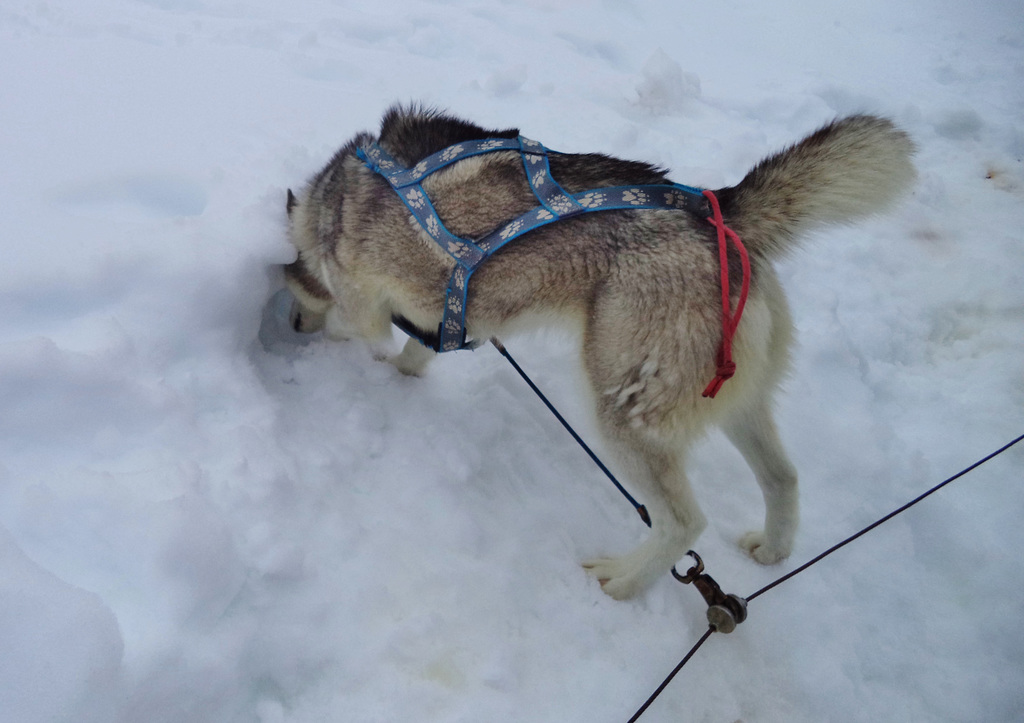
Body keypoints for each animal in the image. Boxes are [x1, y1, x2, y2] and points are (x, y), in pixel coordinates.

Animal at [284, 105, 917, 598]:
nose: (292, 327)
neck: (330, 200)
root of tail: (720, 212)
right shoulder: (435, 315)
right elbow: (417, 351)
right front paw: (400, 376)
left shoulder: (362, 301)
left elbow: (358, 330)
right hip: (737, 401)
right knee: (783, 477)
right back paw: (772, 549)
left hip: (622, 412)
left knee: (684, 522)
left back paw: (624, 580)